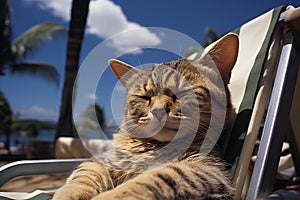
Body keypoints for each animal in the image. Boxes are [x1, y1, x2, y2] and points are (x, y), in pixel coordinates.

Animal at [52, 33, 239, 200]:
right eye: (145, 97)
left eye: (182, 92)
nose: (158, 110)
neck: (152, 146)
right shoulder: (101, 160)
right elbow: (84, 175)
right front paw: (69, 193)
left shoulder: (206, 171)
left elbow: (150, 180)